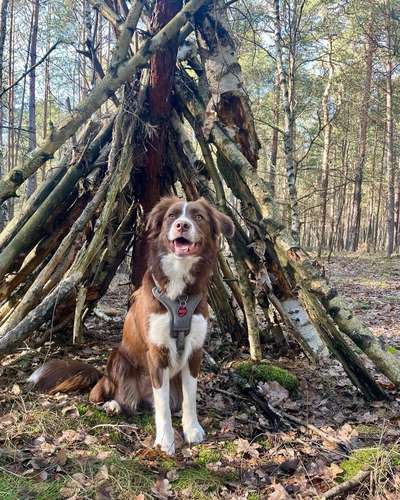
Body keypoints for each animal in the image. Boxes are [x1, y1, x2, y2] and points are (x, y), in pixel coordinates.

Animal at [28, 197, 234, 456]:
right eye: (172, 216)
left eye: (198, 217)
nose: (182, 225)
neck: (179, 295)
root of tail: (104, 377)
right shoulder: (157, 352)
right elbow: (162, 406)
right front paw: (165, 441)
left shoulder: (195, 351)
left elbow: (190, 397)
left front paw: (192, 429)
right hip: (118, 358)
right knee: (114, 397)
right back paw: (113, 405)